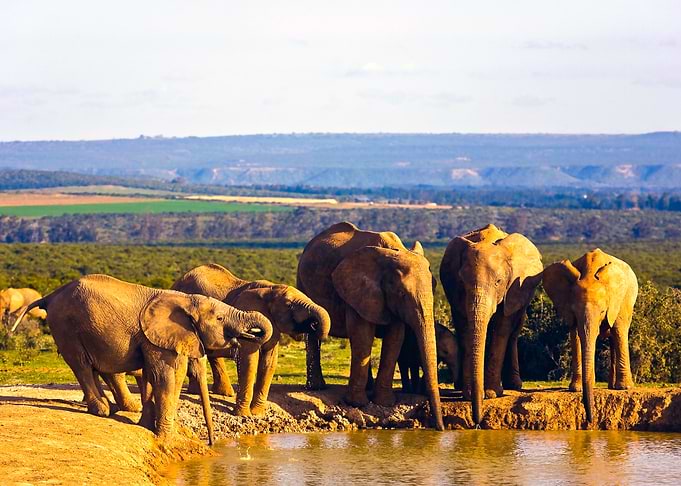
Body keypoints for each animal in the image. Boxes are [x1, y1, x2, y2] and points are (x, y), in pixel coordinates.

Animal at [11, 274, 272, 443]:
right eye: (219, 318)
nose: (210, 443)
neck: (186, 300)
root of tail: (50, 296)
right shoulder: (156, 338)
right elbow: (165, 376)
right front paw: (167, 437)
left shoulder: (153, 339)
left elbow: (151, 374)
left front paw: (147, 425)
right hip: (66, 326)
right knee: (81, 364)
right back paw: (102, 411)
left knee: (93, 366)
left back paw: (112, 407)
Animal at [172, 263, 331, 416]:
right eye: (289, 305)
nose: (313, 324)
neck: (270, 288)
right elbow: (249, 361)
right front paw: (243, 415)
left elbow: (269, 362)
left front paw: (257, 414)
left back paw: (223, 393)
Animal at [297, 221, 444, 430]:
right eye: (401, 293)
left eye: (434, 287)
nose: (440, 428)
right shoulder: (358, 290)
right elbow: (363, 334)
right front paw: (357, 404)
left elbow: (394, 339)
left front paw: (385, 403)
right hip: (302, 282)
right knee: (314, 332)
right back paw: (317, 387)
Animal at [440, 224, 543, 425]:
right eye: (462, 282)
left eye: (498, 282)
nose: (477, 421)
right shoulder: (456, 292)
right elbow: (465, 329)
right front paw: (470, 394)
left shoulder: (512, 288)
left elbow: (501, 329)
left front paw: (492, 393)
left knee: (514, 331)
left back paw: (514, 385)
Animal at [543, 248, 637, 423]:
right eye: (574, 311)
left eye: (602, 311)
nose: (590, 420)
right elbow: (576, 336)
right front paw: (576, 389)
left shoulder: (618, 301)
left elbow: (619, 330)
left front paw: (625, 388)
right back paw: (610, 386)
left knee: (617, 335)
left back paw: (616, 387)